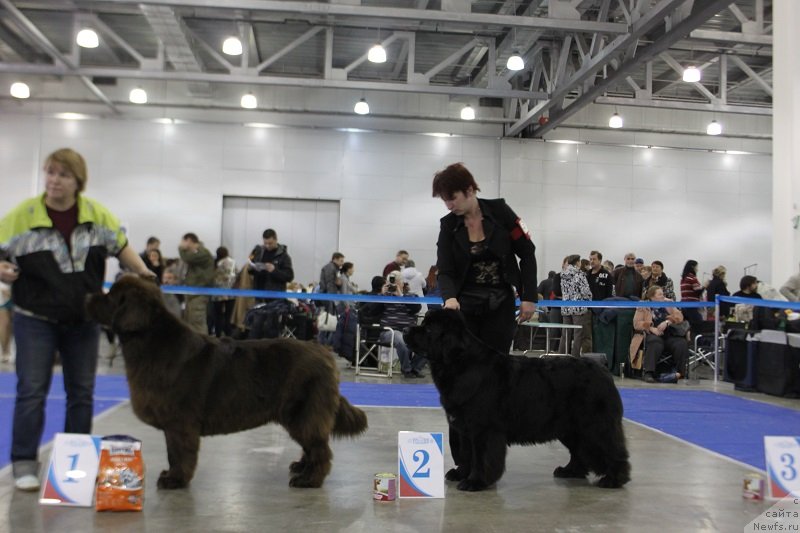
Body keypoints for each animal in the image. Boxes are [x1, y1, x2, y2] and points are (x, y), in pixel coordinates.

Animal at [86, 276, 368, 488]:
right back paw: (301, 467)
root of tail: (325, 354)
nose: (88, 296)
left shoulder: (180, 421)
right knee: (313, 446)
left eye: (110, 296)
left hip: (304, 413)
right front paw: (172, 476)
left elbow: (179, 452)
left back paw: (309, 479)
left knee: (320, 449)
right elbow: (172, 452)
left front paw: (175, 479)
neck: (149, 340)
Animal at [406, 310, 632, 492]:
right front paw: (461, 473)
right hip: (571, 428)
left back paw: (613, 479)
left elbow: (481, 457)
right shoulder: (464, 428)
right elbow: (465, 454)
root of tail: (603, 371)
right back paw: (569, 470)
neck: (461, 364)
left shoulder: (483, 429)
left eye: (428, 329)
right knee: (580, 451)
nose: (407, 329)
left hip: (594, 425)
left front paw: (475, 482)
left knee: (610, 448)